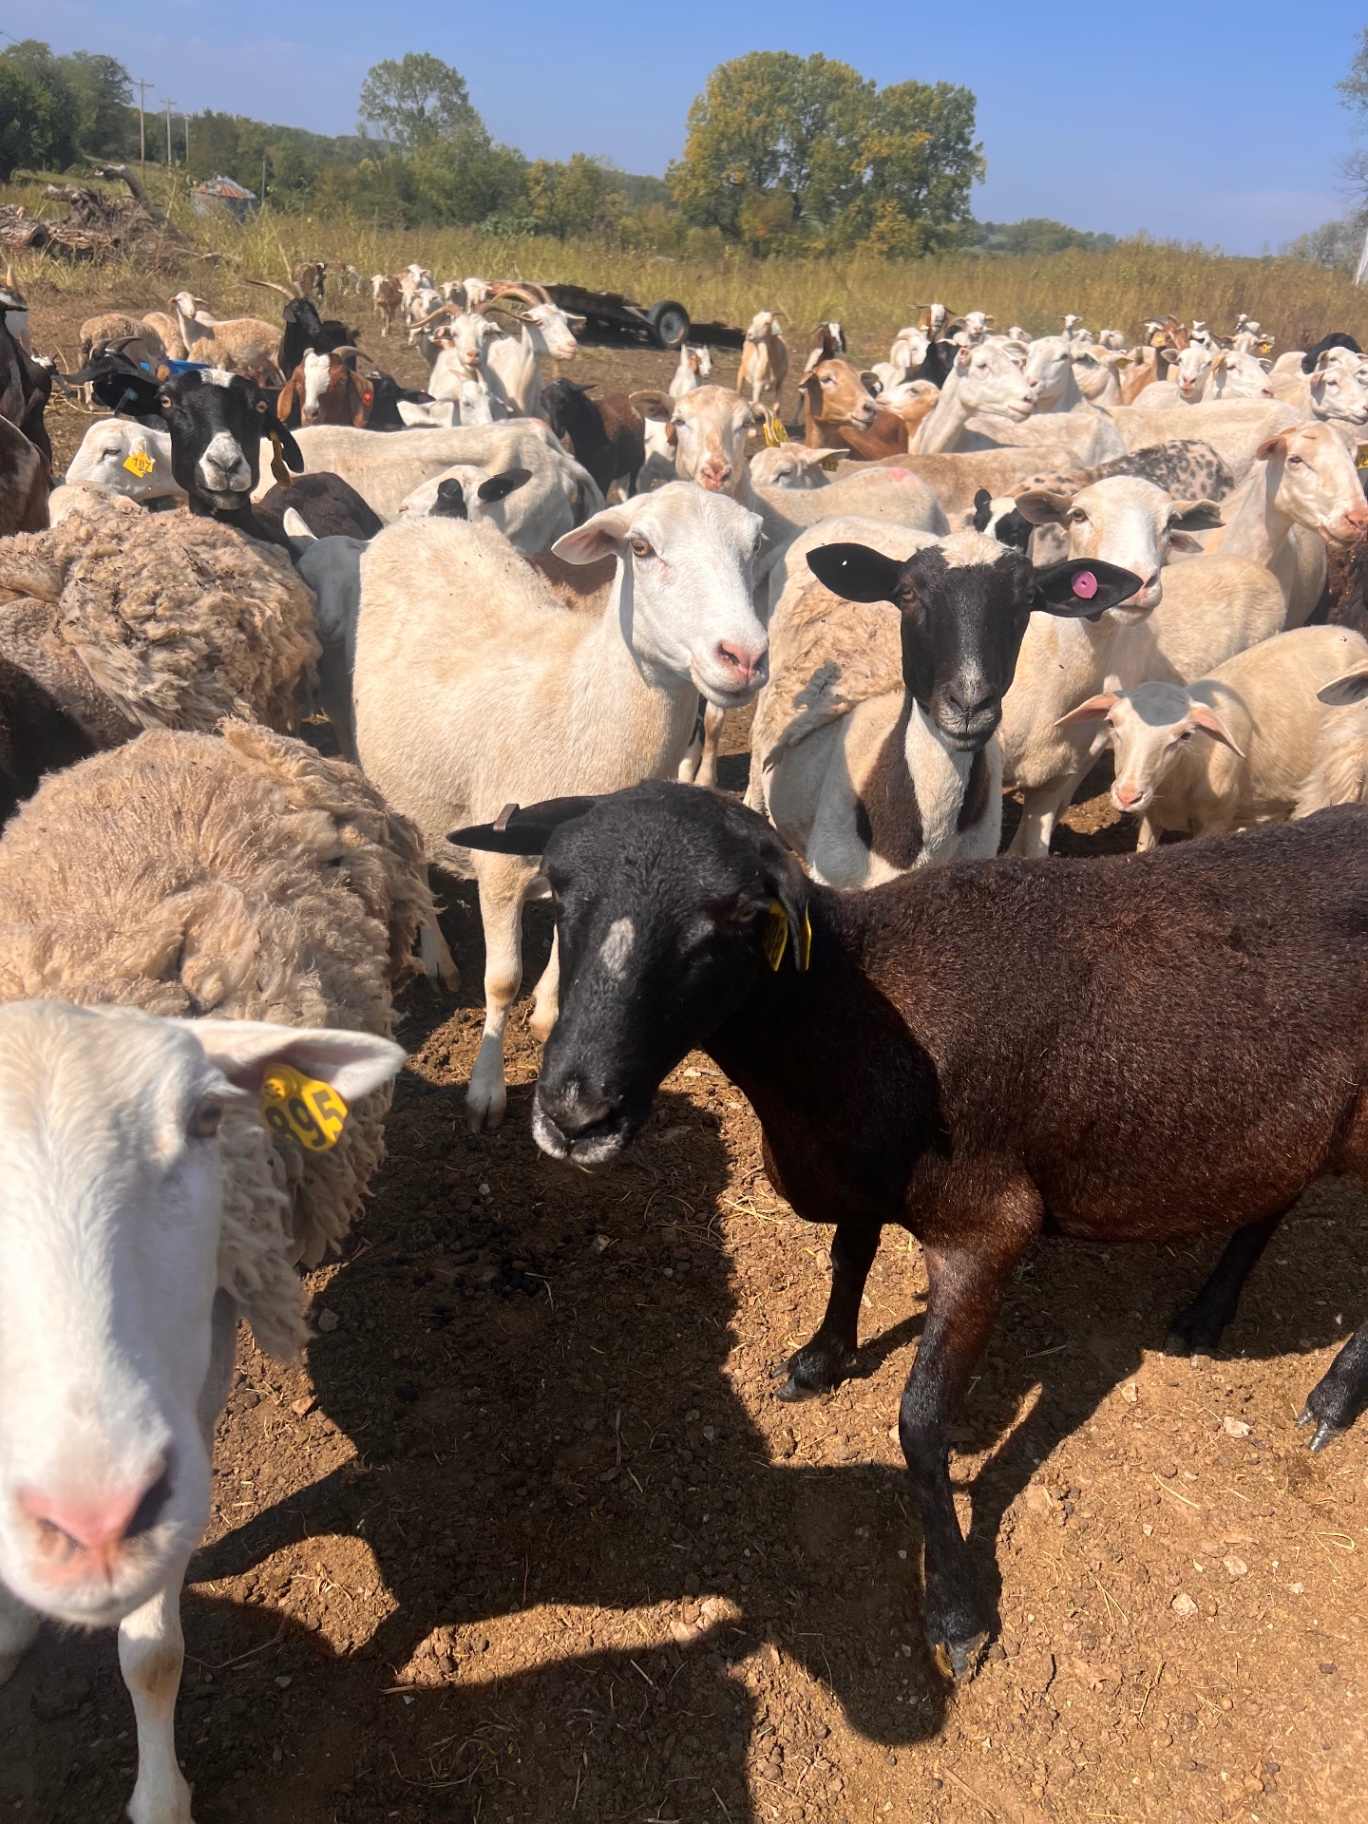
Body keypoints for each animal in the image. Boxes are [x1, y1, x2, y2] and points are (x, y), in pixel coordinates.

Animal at [0, 719, 424, 1822]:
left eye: (201, 1121)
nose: (95, 1515)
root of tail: (185, 729)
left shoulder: (197, 1373)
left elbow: (149, 1653)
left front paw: (160, 1797)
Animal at [352, 483, 769, 1129]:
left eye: (756, 545)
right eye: (641, 548)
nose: (744, 657)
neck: (579, 702)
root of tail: (423, 522)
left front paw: (548, 1013)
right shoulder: (499, 868)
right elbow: (502, 982)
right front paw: (487, 1090)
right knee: (415, 860)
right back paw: (437, 956)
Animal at [450, 780, 1368, 1680]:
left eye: (735, 920)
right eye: (560, 894)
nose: (576, 1115)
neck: (845, 1025)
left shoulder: (988, 1229)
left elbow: (921, 1425)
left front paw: (956, 1613)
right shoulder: (858, 1180)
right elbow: (847, 1257)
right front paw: (820, 1362)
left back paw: (1331, 1398)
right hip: (1295, 1122)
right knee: (1274, 1193)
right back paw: (1208, 1316)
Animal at [1056, 625, 1368, 846]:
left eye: (1184, 735)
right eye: (1111, 723)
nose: (1127, 796)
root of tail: (1349, 633)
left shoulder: (1214, 822)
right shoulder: (1151, 817)